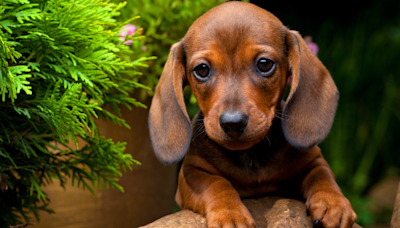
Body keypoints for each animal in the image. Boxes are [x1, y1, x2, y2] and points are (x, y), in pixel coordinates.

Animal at [148, 1, 358, 228]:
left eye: (264, 64)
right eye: (202, 69)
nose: (232, 123)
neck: (250, 155)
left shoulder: (312, 160)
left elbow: (322, 175)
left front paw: (332, 202)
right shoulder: (191, 173)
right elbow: (216, 183)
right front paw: (230, 214)